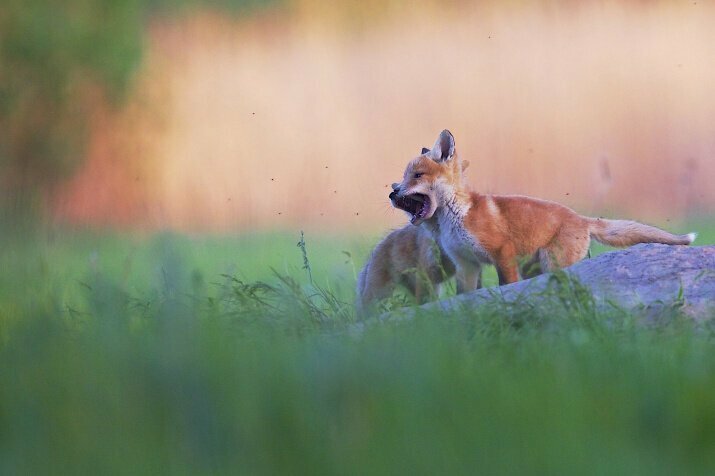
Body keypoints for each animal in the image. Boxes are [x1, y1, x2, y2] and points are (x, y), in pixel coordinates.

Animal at [392, 129, 700, 286]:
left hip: (553, 264)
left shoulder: (503, 252)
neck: (453, 220)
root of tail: (582, 218)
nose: (392, 192)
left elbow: (506, 285)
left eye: (417, 176)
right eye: (404, 176)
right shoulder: (466, 265)